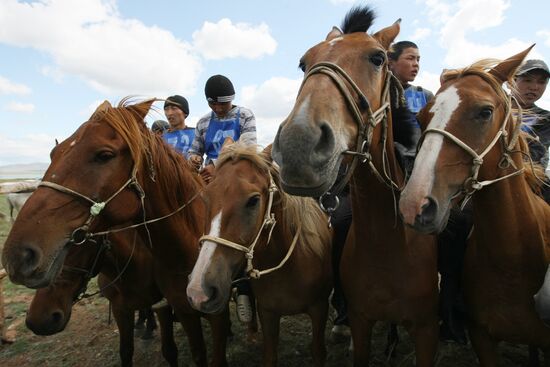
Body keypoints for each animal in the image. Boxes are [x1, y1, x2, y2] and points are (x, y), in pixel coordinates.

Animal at [26, 231, 177, 366]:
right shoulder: (120, 309)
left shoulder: (164, 306)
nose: (39, 321)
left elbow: (169, 351)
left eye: (79, 238)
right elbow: (126, 352)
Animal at [188, 142, 334, 366]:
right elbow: (270, 355)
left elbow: (318, 351)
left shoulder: (319, 308)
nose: (199, 290)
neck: (290, 268)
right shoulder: (268, 313)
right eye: (205, 197)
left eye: (253, 200)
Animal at [272, 5, 440, 366]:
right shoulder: (363, 323)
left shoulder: (426, 329)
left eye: (378, 58)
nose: (298, 145)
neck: (388, 244)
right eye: (304, 63)